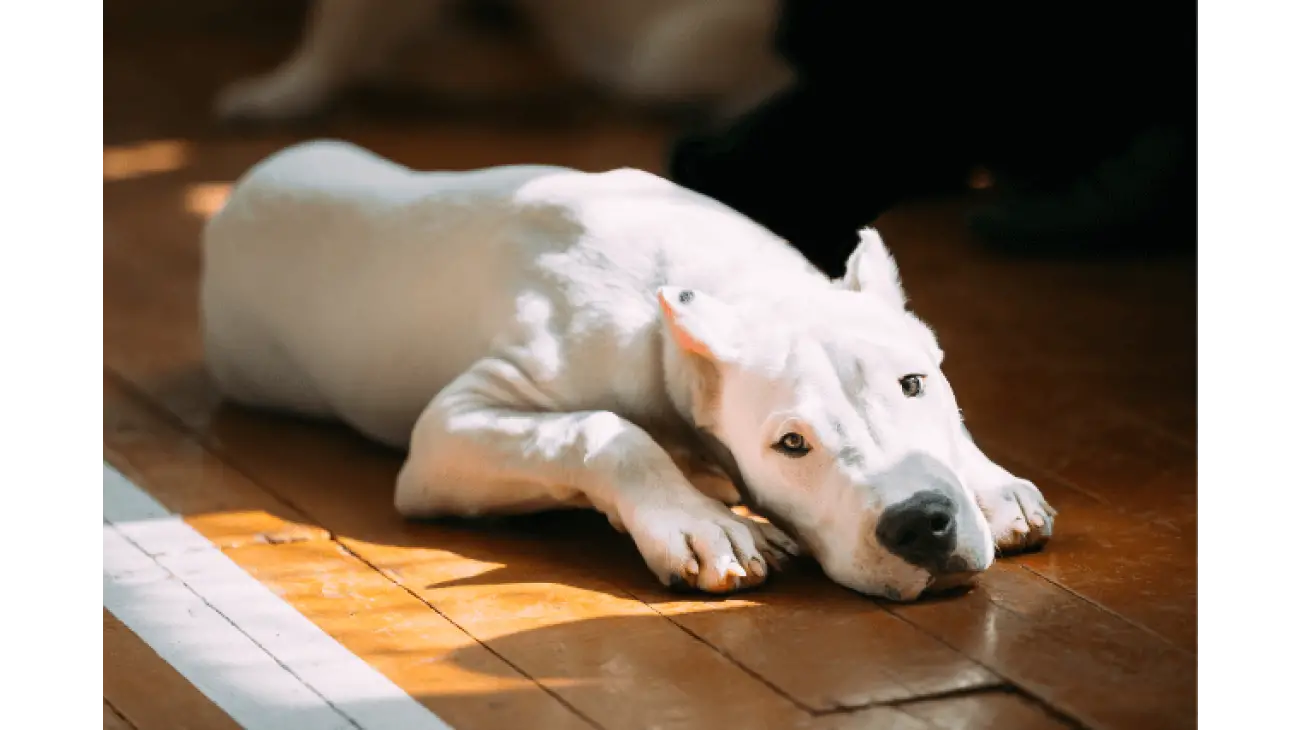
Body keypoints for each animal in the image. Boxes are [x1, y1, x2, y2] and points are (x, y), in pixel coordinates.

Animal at [202, 138, 1055, 600]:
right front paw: (702, 523)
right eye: (791, 445)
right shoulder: (448, 432)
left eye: (915, 385)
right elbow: (603, 430)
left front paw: (992, 483)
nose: (921, 523)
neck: (729, 291)